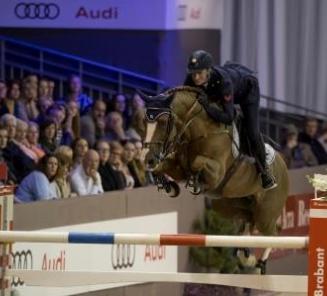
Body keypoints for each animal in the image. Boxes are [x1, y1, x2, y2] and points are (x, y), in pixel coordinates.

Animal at [141, 85, 290, 270]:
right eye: (144, 121)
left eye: (162, 122)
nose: (147, 160)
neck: (199, 131)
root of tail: (284, 165)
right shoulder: (179, 167)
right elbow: (164, 168)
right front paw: (169, 187)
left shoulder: (217, 172)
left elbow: (197, 162)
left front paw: (194, 182)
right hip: (227, 206)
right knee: (248, 221)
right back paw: (245, 255)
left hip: (266, 214)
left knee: (273, 233)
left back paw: (259, 264)